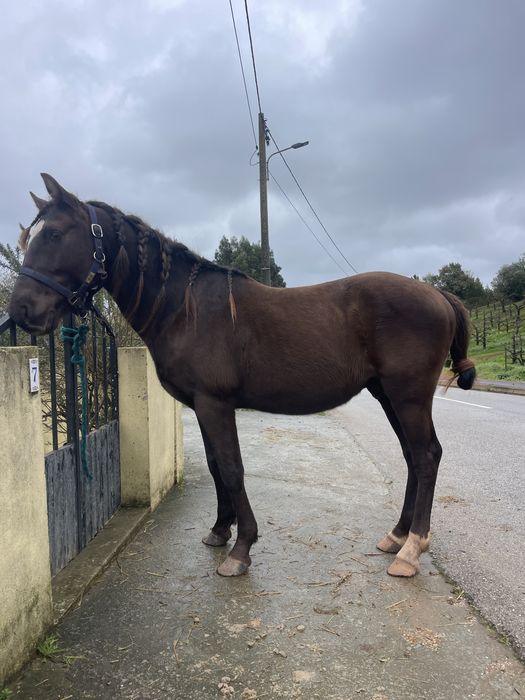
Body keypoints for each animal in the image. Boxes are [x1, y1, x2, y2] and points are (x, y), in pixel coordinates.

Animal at [9, 173, 476, 578]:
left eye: (54, 234)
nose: (21, 311)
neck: (184, 308)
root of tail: (439, 294)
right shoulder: (201, 406)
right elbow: (217, 467)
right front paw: (220, 531)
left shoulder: (214, 403)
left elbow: (232, 469)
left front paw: (241, 548)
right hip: (387, 395)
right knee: (413, 457)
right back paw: (396, 536)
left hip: (409, 396)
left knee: (427, 455)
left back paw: (411, 550)